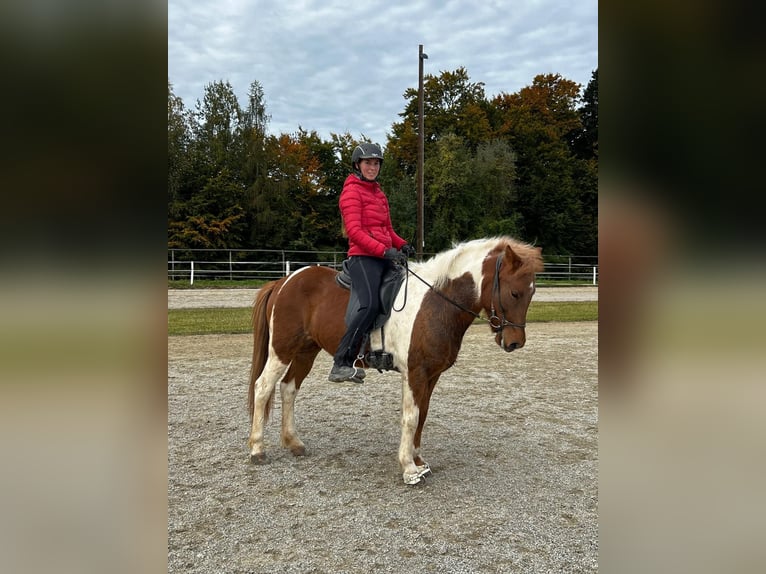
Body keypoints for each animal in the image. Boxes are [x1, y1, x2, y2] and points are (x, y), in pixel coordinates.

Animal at [247, 236, 544, 485]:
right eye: (514, 293)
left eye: (532, 293)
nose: (515, 342)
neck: (435, 303)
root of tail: (284, 282)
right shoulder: (414, 372)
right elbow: (411, 417)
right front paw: (409, 468)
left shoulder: (431, 375)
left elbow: (423, 415)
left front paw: (419, 460)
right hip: (282, 349)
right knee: (263, 388)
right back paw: (257, 448)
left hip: (306, 351)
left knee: (288, 388)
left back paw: (293, 442)